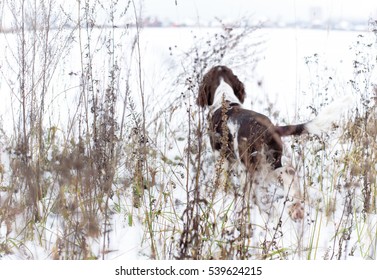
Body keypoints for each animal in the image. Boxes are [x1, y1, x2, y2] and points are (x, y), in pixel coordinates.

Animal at [198, 65, 354, 221]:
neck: (225, 99)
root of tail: (269, 129)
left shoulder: (221, 157)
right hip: (271, 163)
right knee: (289, 171)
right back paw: (296, 208)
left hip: (249, 168)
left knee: (252, 195)